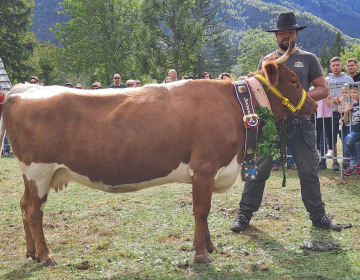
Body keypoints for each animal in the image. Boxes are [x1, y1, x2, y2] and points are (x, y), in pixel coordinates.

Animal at [0, 47, 316, 264]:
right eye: (292, 80)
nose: (315, 104)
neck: (238, 104)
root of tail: (22, 90)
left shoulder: (210, 173)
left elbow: (205, 211)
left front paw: (211, 246)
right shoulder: (204, 167)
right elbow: (201, 210)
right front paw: (202, 253)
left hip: (34, 175)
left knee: (24, 205)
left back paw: (31, 252)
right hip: (38, 170)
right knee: (34, 210)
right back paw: (45, 255)